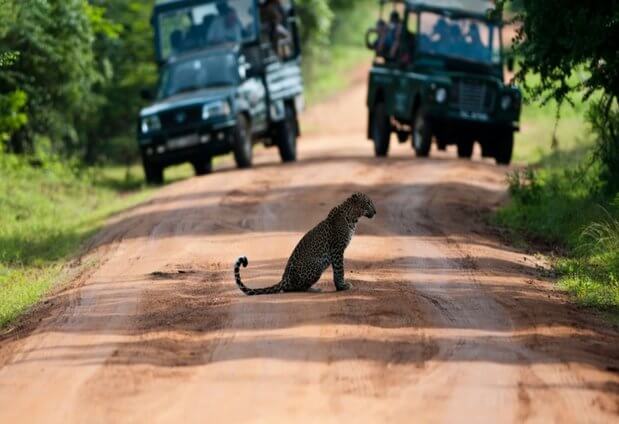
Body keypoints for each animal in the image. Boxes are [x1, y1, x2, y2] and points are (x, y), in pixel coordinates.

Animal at [234, 192, 376, 294]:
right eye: (368, 203)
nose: (375, 212)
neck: (353, 217)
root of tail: (284, 279)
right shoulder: (337, 249)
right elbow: (339, 269)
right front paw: (342, 286)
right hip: (317, 264)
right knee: (292, 288)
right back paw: (314, 289)